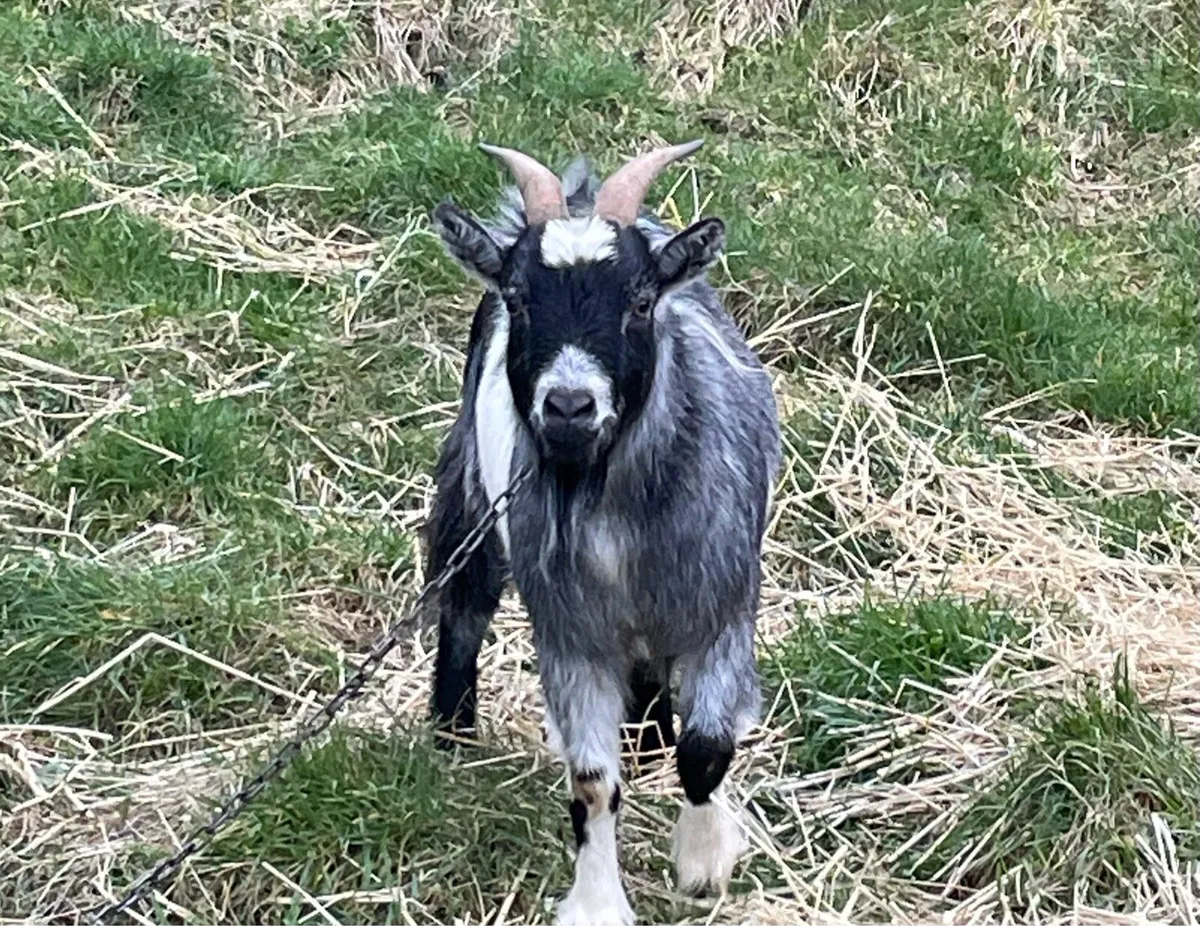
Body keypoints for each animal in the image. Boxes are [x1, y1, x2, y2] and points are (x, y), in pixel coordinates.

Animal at [426, 140, 781, 925]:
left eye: (640, 301)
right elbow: (591, 782)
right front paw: (595, 902)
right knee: (461, 600)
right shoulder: (572, 632)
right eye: (519, 297)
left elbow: (707, 750)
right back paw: (450, 732)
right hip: (469, 487)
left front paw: (705, 860)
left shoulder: (722, 612)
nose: (568, 406)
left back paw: (649, 739)